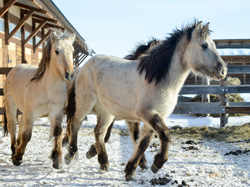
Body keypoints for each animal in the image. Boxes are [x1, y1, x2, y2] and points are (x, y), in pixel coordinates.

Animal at [3, 28, 75, 169]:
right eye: (56, 51)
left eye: (72, 50)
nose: (69, 74)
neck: (47, 88)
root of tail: (14, 69)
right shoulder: (31, 113)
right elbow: (27, 135)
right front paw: (17, 158)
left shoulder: (56, 112)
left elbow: (58, 132)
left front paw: (57, 160)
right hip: (11, 104)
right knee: (12, 126)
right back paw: (14, 150)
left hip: (23, 110)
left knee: (20, 124)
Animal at [65, 21, 229, 180]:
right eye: (204, 45)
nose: (223, 70)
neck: (158, 80)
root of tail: (82, 68)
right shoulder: (146, 113)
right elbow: (165, 134)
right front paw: (158, 162)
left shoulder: (154, 117)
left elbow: (143, 143)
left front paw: (131, 170)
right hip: (85, 104)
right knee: (75, 123)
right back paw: (70, 155)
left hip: (107, 112)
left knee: (99, 132)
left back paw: (104, 163)